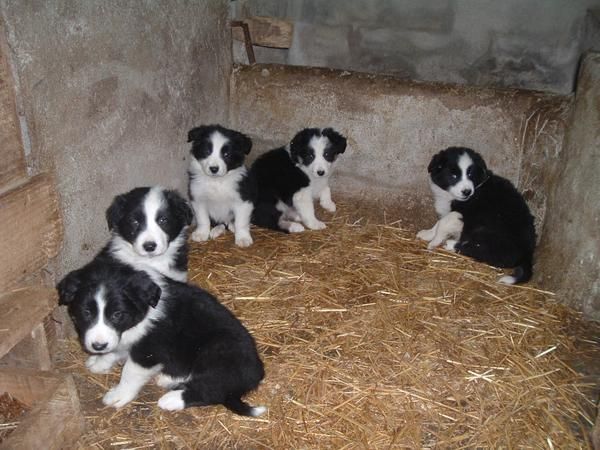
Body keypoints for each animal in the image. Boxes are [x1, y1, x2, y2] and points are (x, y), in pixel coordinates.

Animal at [57, 260, 266, 418]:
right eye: (86, 312)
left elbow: (130, 373)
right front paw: (100, 361)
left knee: (213, 390)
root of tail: (256, 373)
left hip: (218, 351)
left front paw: (119, 394)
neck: (144, 312)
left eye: (117, 314)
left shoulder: (149, 351)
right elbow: (115, 349)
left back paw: (171, 399)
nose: (98, 345)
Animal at [414, 146, 536, 284]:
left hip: (486, 231)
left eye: (470, 174)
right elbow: (439, 222)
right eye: (454, 175)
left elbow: (443, 223)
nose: (467, 191)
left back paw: (451, 244)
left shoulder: (461, 214)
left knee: (485, 252)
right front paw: (427, 234)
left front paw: (434, 242)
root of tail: (528, 254)